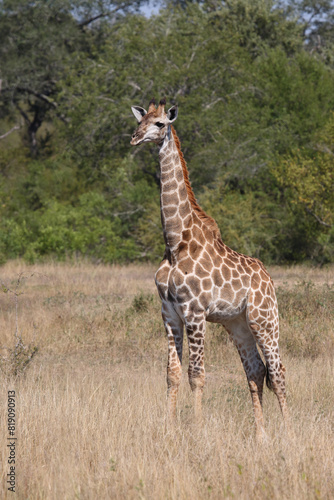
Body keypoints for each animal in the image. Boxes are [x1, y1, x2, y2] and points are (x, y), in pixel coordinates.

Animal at [130, 97, 290, 438]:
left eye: (159, 123)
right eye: (139, 121)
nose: (135, 138)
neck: (175, 242)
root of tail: (268, 278)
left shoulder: (195, 311)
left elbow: (197, 374)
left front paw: (198, 429)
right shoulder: (169, 312)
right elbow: (172, 373)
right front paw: (170, 428)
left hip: (265, 319)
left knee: (278, 371)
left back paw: (290, 433)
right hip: (238, 324)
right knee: (256, 370)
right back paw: (261, 435)